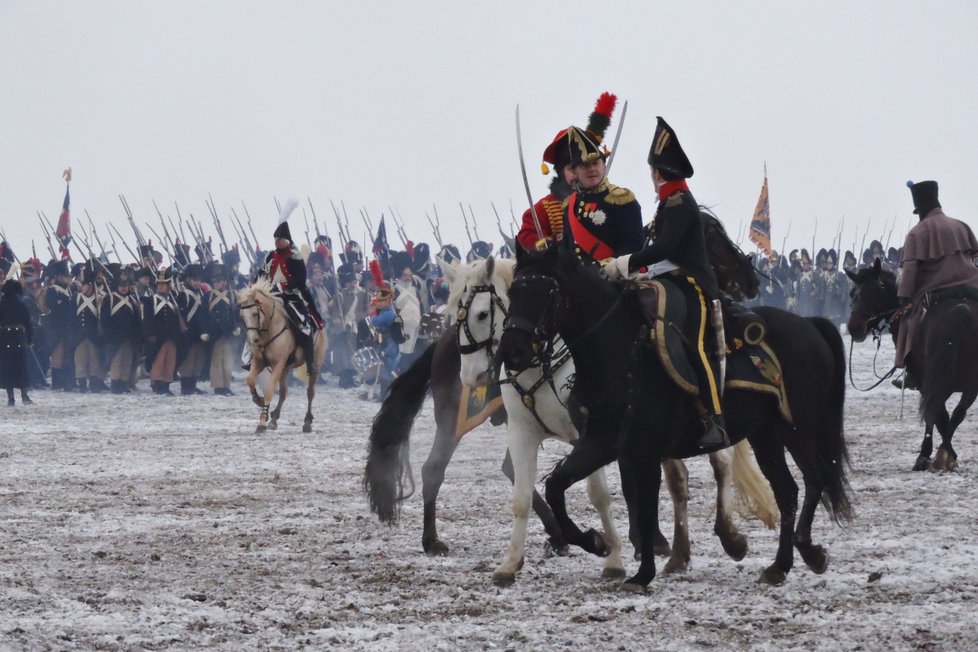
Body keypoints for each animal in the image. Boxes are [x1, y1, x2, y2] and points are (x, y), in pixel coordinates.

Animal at [236, 276, 328, 432]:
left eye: (255, 313)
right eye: (242, 316)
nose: (254, 340)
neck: (269, 329)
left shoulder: (278, 364)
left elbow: (269, 390)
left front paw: (262, 421)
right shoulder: (259, 362)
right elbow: (250, 380)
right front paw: (258, 400)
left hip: (313, 364)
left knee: (310, 392)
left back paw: (307, 422)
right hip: (285, 368)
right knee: (284, 392)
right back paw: (274, 419)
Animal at [440, 255, 772, 584]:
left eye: (482, 314)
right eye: (452, 316)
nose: (471, 377)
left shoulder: (589, 437)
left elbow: (598, 494)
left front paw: (611, 556)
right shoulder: (524, 433)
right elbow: (521, 498)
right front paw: (510, 564)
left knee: (722, 465)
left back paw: (728, 537)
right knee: (678, 481)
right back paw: (678, 554)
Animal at [500, 244, 852, 592]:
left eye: (547, 291)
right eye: (514, 291)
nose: (512, 352)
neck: (619, 353)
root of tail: (809, 324)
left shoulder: (643, 451)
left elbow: (644, 510)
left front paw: (642, 573)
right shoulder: (602, 444)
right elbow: (557, 486)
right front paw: (595, 542)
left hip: (800, 429)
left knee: (814, 480)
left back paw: (807, 550)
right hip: (766, 435)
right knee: (786, 491)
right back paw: (780, 566)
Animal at [844, 258, 972, 472]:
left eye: (873, 291)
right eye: (853, 293)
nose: (854, 328)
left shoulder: (924, 380)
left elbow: (937, 415)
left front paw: (932, 454)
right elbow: (944, 416)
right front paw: (948, 454)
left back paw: (934, 456)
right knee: (958, 412)